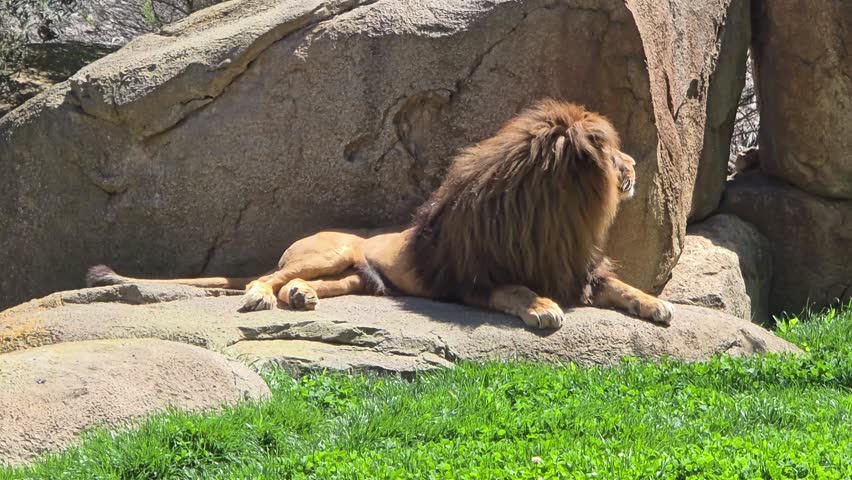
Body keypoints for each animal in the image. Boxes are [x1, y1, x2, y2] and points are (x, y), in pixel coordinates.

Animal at [87, 99, 674, 328]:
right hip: (331, 251)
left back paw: (299, 299)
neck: (556, 216)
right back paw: (261, 296)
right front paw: (543, 308)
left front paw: (657, 306)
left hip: (356, 278)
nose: (635, 165)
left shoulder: (578, 268)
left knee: (304, 285)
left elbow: (622, 287)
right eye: (615, 154)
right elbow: (518, 290)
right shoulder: (473, 280)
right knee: (268, 275)